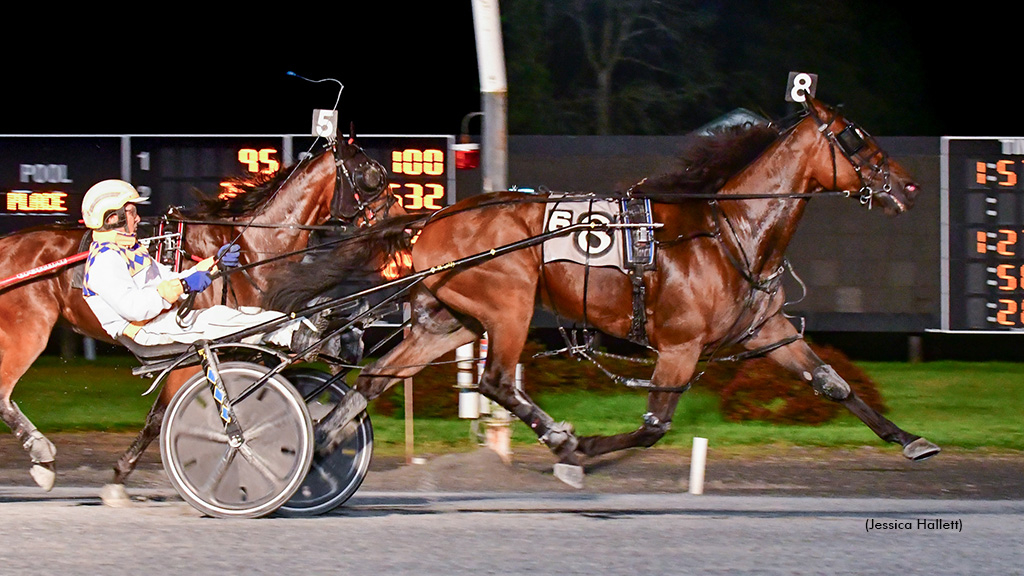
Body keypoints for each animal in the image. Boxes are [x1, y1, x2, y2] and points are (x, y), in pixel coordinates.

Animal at [0, 138, 395, 494]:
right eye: (370, 174)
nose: (395, 223)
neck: (251, 247)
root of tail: (7, 244)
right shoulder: (190, 347)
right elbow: (162, 416)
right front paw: (121, 475)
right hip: (27, 332)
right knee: (4, 393)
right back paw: (42, 456)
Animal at [270, 96, 937, 485]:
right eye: (854, 136)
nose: (907, 185)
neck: (727, 230)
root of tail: (434, 218)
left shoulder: (764, 329)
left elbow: (832, 383)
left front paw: (911, 441)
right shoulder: (680, 345)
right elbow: (654, 424)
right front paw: (587, 450)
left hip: (449, 319)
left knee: (379, 378)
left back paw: (321, 443)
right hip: (509, 303)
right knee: (496, 382)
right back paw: (561, 439)